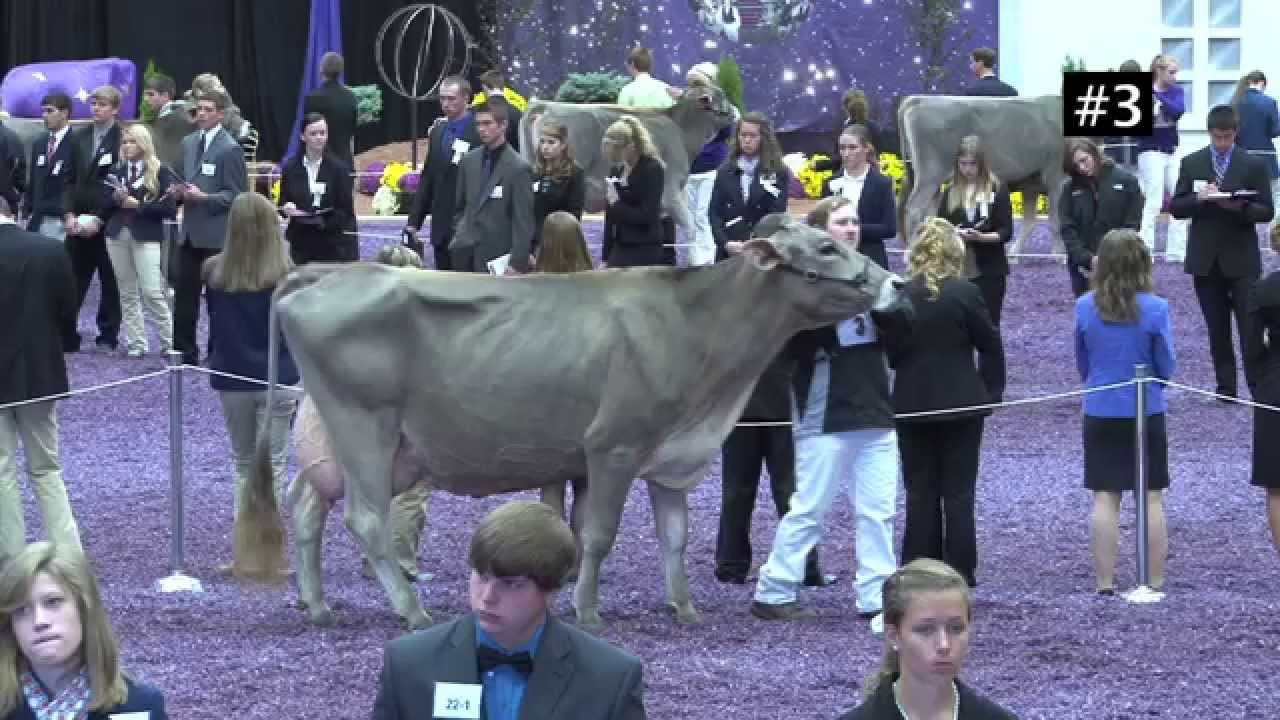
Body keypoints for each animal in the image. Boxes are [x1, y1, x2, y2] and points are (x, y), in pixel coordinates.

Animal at [232, 215, 906, 630]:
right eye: (826, 248)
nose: (895, 281)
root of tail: (327, 272)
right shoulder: (613, 446)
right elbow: (600, 535)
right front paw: (587, 611)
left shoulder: (668, 456)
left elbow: (672, 536)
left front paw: (684, 608)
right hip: (366, 426)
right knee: (364, 518)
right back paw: (412, 610)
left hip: (338, 434)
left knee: (307, 505)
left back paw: (318, 605)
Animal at [517, 85, 736, 235]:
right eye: (722, 97)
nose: (735, 111)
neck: (682, 131)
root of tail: (544, 105)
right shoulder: (670, 191)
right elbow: (692, 230)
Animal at [897, 94, 1066, 257]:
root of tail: (916, 99)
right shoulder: (1055, 177)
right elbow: (1055, 221)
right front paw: (1059, 254)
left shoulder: (1031, 184)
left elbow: (1030, 222)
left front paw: (1015, 254)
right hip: (929, 176)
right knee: (914, 208)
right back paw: (911, 253)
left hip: (932, 180)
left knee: (930, 213)